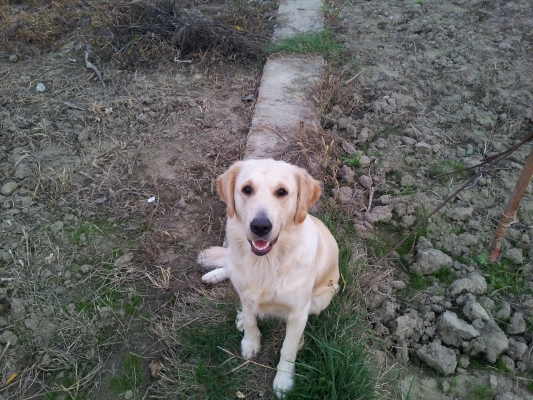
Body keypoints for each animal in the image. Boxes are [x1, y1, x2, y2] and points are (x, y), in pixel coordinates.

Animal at [197, 159, 339, 398]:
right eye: (247, 189)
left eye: (282, 192)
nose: (261, 226)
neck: (266, 262)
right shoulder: (245, 292)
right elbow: (251, 318)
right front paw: (250, 342)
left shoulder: (299, 312)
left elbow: (288, 349)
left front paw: (283, 381)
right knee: (230, 266)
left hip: (321, 299)